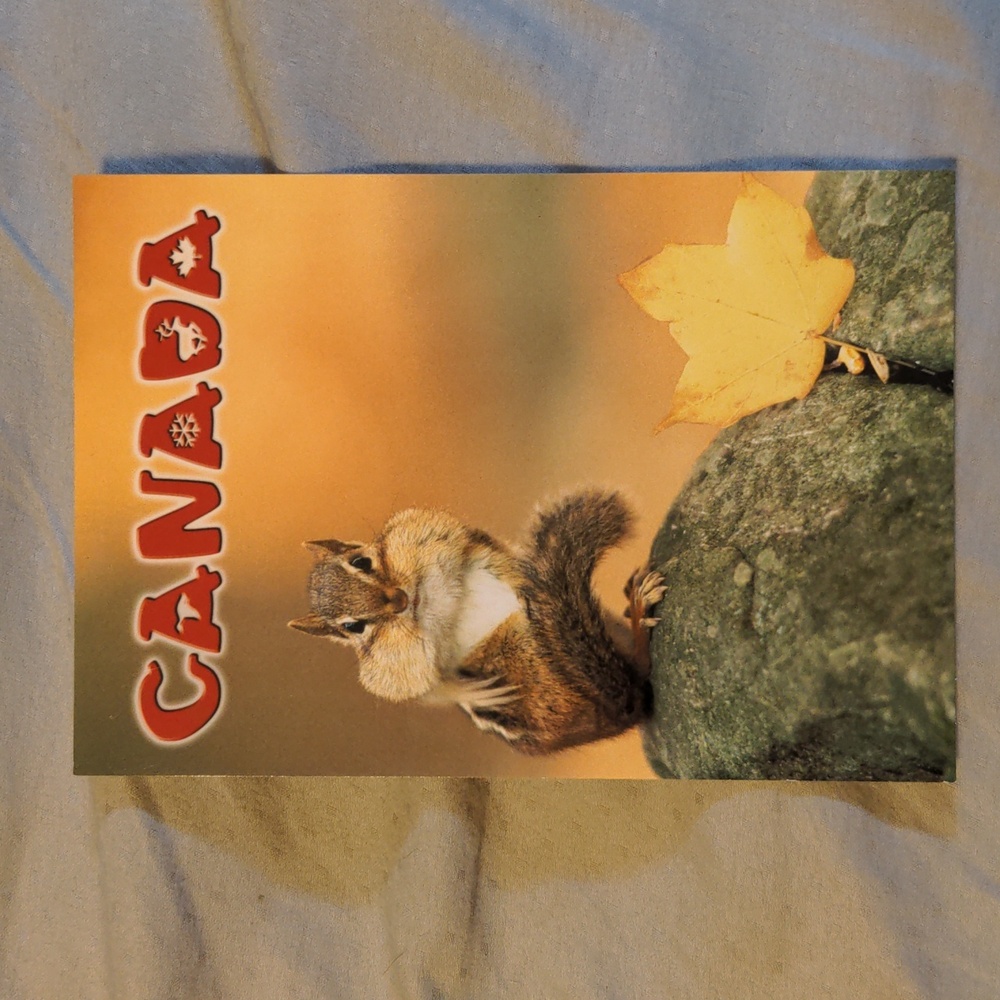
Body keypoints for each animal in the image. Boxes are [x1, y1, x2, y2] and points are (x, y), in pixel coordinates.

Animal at [288, 489, 665, 755]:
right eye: (352, 627)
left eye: (361, 561)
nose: (399, 600)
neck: (425, 602)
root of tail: (618, 712)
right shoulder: (394, 672)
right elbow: (429, 692)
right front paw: (476, 694)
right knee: (638, 666)